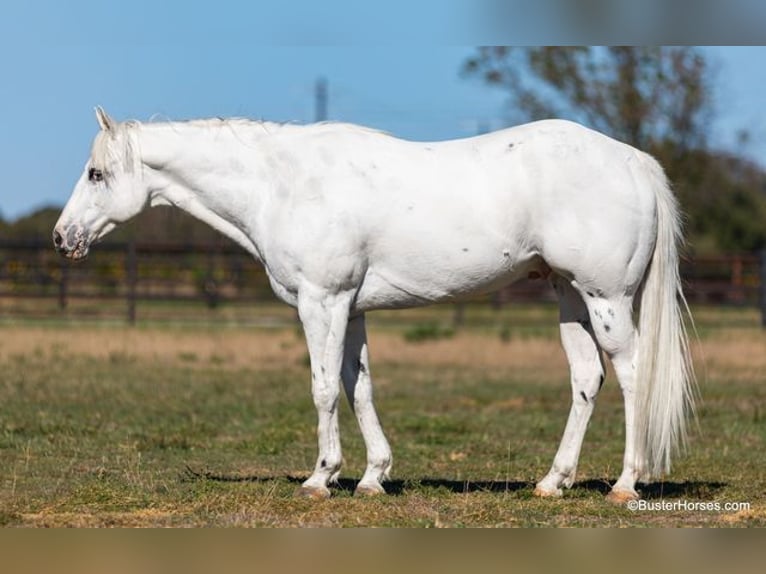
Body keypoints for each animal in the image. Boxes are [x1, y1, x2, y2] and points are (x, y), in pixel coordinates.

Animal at [57, 108, 700, 504]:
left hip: (606, 299)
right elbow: (357, 385)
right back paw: (552, 482)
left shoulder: (322, 302)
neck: (282, 184)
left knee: (632, 376)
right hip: (568, 296)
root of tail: (634, 161)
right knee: (586, 379)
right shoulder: (354, 309)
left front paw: (321, 478)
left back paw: (626, 484)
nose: (63, 238)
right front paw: (373, 476)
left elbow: (322, 387)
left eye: (96, 173)